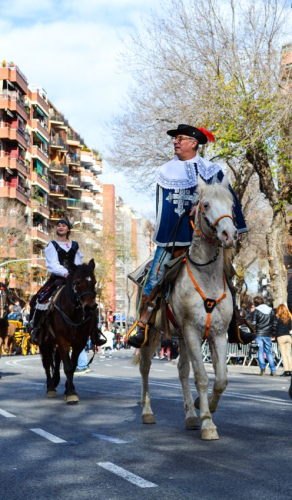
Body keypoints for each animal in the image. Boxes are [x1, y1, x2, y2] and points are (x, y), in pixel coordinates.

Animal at [40, 258, 96, 402]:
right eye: (78, 282)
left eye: (94, 282)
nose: (90, 308)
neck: (73, 313)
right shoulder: (63, 339)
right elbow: (68, 366)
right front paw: (71, 392)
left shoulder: (80, 341)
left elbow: (72, 364)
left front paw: (69, 389)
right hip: (44, 343)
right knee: (47, 364)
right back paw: (50, 388)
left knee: (57, 359)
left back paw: (55, 381)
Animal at [138, 177, 238, 442]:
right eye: (206, 204)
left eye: (232, 205)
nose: (230, 235)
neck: (206, 277)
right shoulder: (192, 331)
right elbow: (202, 377)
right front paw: (208, 424)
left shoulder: (218, 334)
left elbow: (221, 379)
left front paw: (203, 408)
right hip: (152, 335)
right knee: (145, 368)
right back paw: (147, 412)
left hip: (181, 338)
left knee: (182, 371)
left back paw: (191, 417)